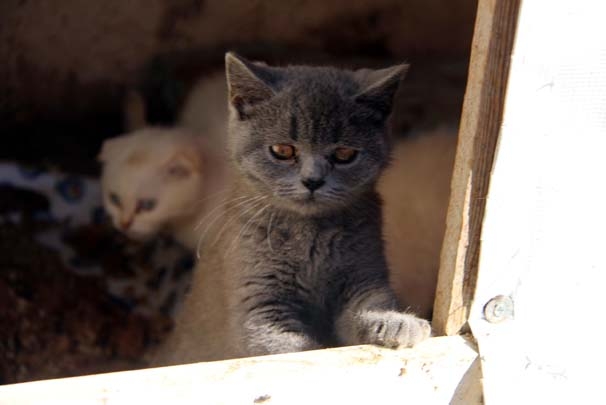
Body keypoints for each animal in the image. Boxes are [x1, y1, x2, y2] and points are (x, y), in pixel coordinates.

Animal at [157, 52, 432, 364]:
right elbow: (290, 347)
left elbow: (370, 301)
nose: (312, 180)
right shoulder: (258, 302)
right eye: (283, 151)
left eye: (344, 154)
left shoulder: (364, 272)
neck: (311, 236)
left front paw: (397, 322)